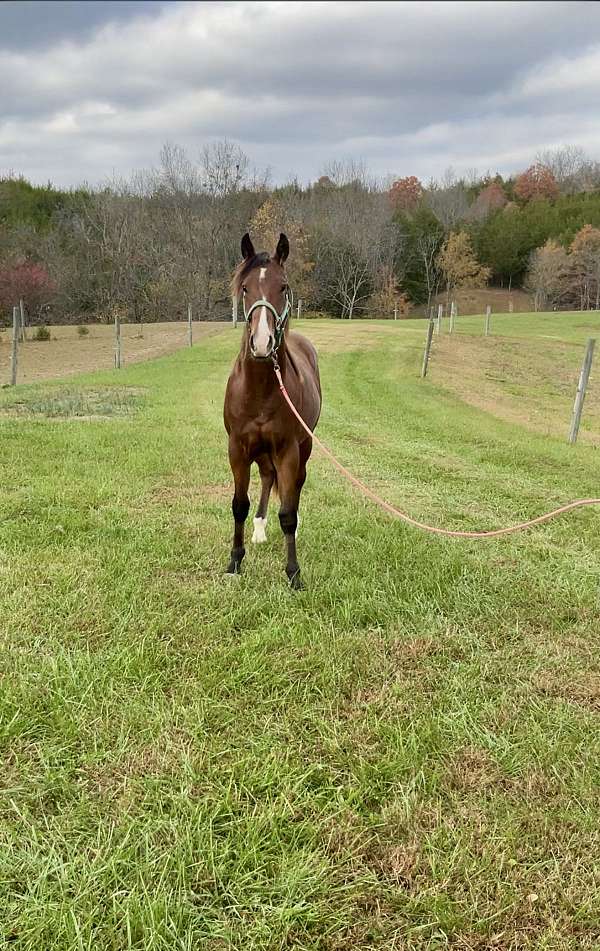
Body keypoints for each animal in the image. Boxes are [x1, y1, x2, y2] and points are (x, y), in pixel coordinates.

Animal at [223, 231, 322, 588]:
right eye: (245, 287)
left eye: (283, 286)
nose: (262, 343)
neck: (261, 390)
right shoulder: (238, 449)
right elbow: (239, 505)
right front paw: (235, 562)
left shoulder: (288, 450)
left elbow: (288, 515)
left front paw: (293, 573)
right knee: (267, 478)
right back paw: (260, 528)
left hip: (303, 448)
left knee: (296, 487)